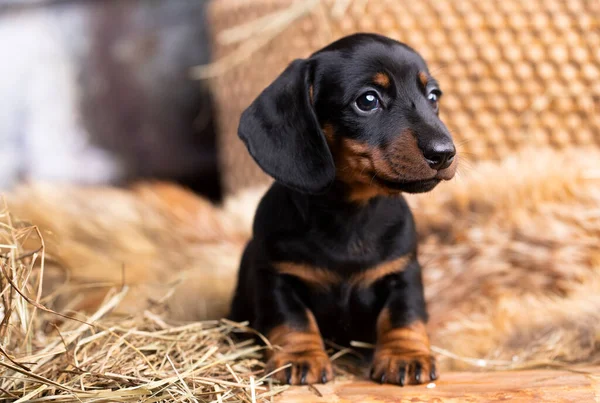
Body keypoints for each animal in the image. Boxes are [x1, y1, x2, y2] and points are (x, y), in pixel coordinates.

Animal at [229, 33, 454, 386]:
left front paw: (405, 356)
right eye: (368, 100)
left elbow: (403, 314)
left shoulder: (403, 271)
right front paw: (300, 358)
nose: (445, 153)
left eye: (433, 96)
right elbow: (293, 319)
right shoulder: (277, 277)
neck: (352, 216)